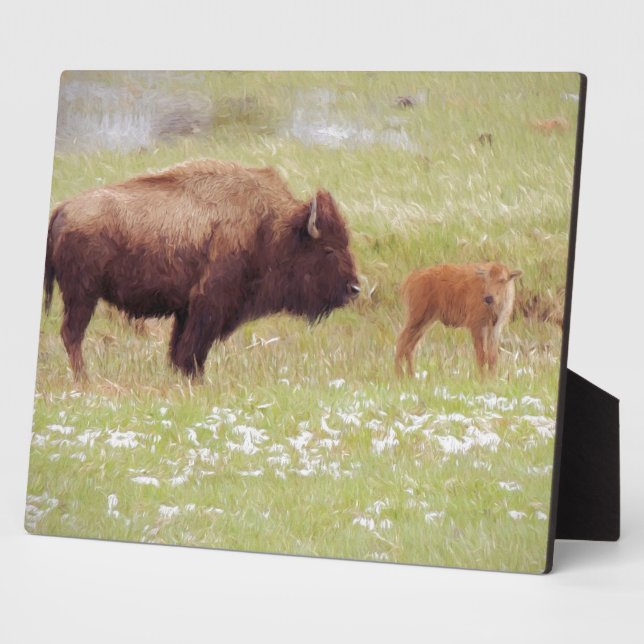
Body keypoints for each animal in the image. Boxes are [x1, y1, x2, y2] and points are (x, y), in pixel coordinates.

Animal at [44, 159, 361, 379]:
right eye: (328, 249)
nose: (354, 288)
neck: (272, 228)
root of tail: (62, 208)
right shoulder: (208, 305)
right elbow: (192, 351)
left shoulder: (186, 311)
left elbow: (179, 350)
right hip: (82, 295)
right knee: (72, 334)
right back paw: (83, 380)